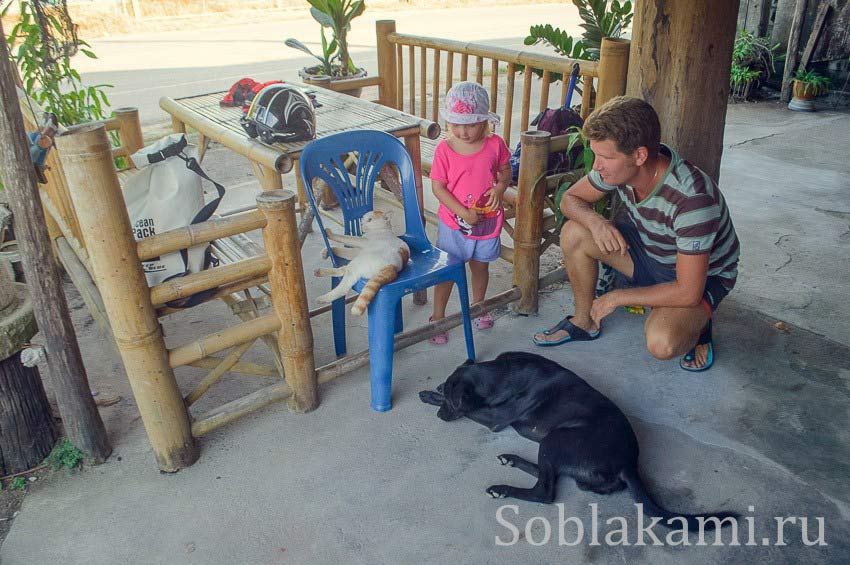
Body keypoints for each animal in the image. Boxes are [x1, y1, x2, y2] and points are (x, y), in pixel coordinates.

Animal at [420, 350, 736, 528]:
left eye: (452, 403)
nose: (439, 416)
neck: (501, 372)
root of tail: (630, 463)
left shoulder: (494, 418)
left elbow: (475, 412)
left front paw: (432, 399)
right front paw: (429, 391)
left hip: (556, 439)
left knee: (545, 491)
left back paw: (503, 488)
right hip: (555, 448)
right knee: (549, 475)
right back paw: (511, 460)